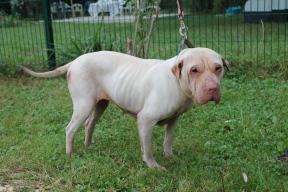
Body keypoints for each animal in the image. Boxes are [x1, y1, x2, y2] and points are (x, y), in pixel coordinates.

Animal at [21, 47, 230, 168]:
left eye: (218, 68)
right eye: (194, 70)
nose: (212, 88)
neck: (177, 82)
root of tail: (76, 60)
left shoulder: (174, 119)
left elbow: (167, 141)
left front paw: (170, 158)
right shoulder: (146, 120)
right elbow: (148, 149)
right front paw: (154, 167)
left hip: (99, 104)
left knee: (89, 125)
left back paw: (89, 146)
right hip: (84, 105)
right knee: (70, 129)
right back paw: (70, 154)